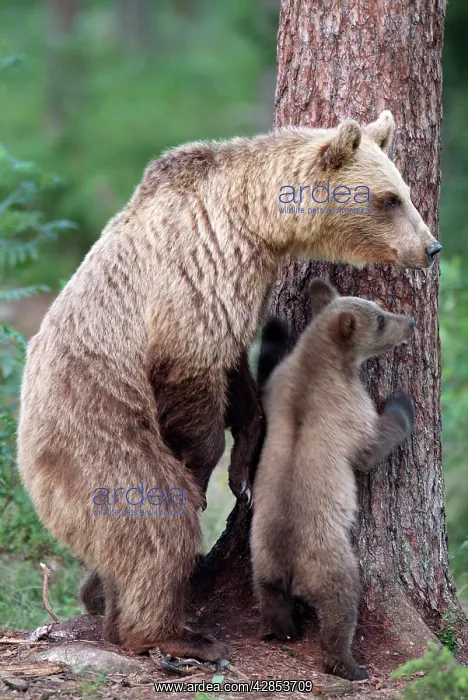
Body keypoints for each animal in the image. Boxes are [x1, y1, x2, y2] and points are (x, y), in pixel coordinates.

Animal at [250, 279, 416, 680]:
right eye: (381, 320)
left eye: (381, 307)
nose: (411, 321)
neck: (324, 359)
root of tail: (290, 567)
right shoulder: (347, 407)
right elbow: (371, 445)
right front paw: (403, 403)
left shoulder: (279, 386)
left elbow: (266, 376)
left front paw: (275, 327)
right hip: (331, 558)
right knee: (341, 606)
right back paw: (349, 664)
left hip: (260, 554)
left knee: (270, 596)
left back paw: (282, 630)